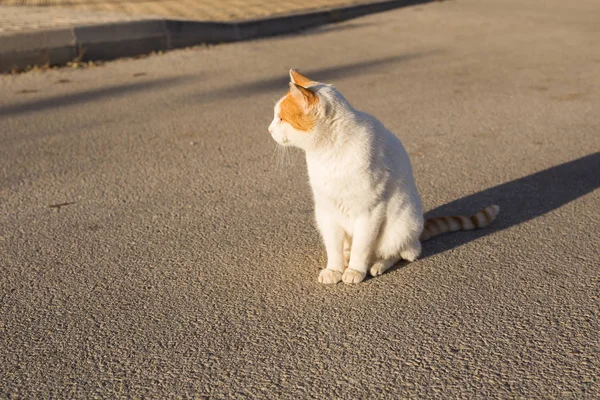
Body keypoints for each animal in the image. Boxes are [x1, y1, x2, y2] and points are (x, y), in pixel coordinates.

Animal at [270, 69, 500, 284]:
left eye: (281, 118)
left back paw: (377, 265)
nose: (269, 130)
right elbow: (334, 247)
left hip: (401, 225)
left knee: (402, 252)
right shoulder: (327, 212)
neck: (328, 153)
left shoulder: (370, 211)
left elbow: (362, 247)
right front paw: (335, 269)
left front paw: (355, 270)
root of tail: (419, 232)